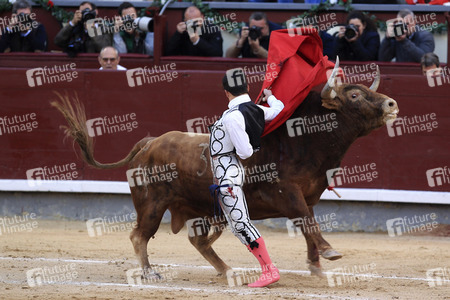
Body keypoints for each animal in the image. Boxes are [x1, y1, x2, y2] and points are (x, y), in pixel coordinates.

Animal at [51, 59, 400, 280]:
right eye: (354, 94)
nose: (392, 104)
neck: (299, 142)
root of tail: (149, 143)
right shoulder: (288, 193)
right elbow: (308, 222)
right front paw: (329, 253)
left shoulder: (309, 196)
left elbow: (307, 225)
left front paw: (315, 264)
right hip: (151, 204)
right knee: (140, 236)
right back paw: (151, 272)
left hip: (199, 209)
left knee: (198, 241)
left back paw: (226, 270)